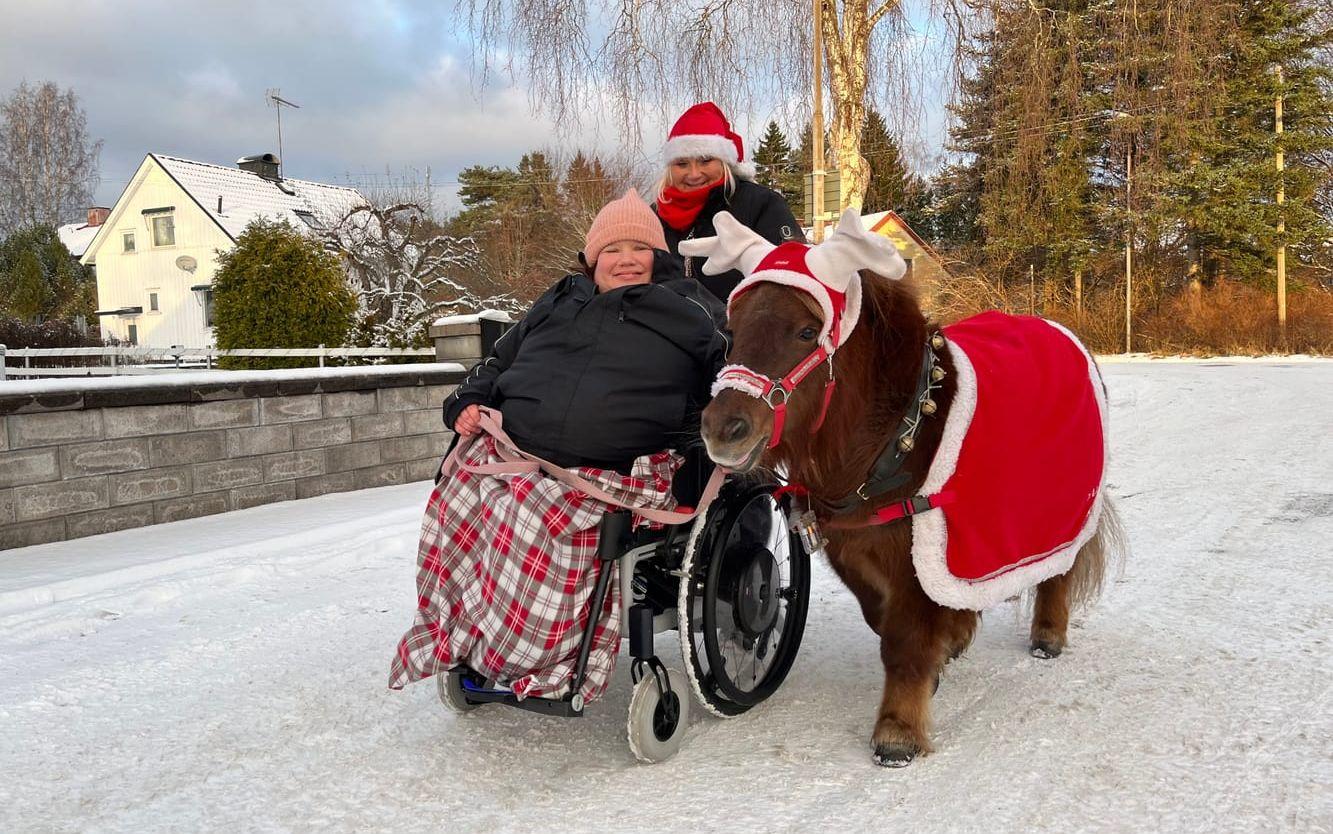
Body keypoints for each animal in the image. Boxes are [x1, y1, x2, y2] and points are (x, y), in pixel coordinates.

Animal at [703, 259, 1119, 767]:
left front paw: (898, 730)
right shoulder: (855, 548)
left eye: (807, 331)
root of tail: (1062, 331)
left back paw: (1048, 634)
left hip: (1060, 514)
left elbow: (904, 639)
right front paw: (944, 649)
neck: (892, 437)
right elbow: (881, 619)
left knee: (1059, 570)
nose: (722, 429)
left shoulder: (922, 553)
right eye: (732, 331)